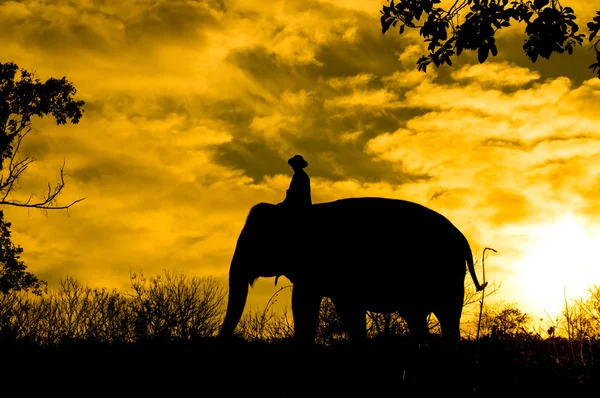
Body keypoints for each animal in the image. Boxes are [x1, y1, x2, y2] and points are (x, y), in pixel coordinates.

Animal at [220, 197, 488, 346]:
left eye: (254, 241)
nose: (221, 341)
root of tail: (463, 239)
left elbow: (315, 304)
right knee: (419, 317)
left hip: (447, 275)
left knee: (447, 316)